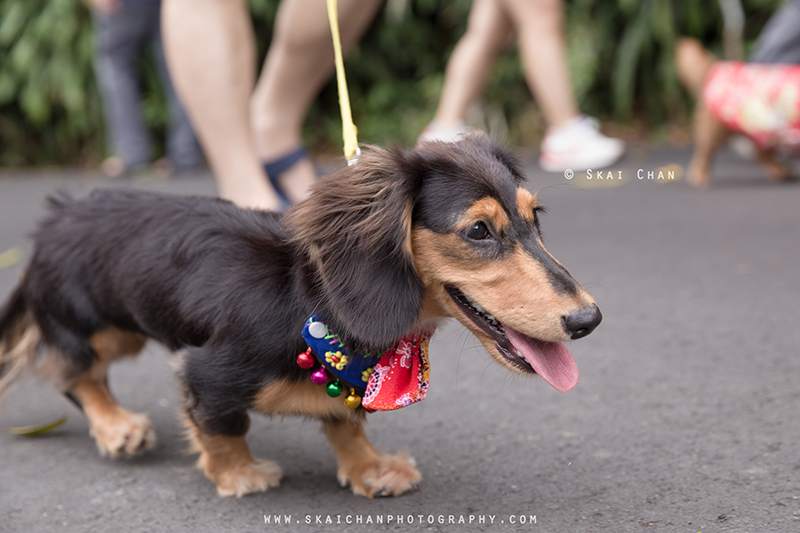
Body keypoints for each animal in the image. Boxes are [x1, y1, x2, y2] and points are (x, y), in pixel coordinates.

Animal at [0, 135, 600, 496]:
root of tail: (55, 217)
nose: (588, 320)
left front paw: (369, 467)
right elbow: (222, 425)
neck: (314, 304)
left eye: (535, 218)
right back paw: (117, 426)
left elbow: (346, 421)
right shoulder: (208, 372)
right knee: (74, 373)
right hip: (98, 328)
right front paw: (239, 472)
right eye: (478, 231)